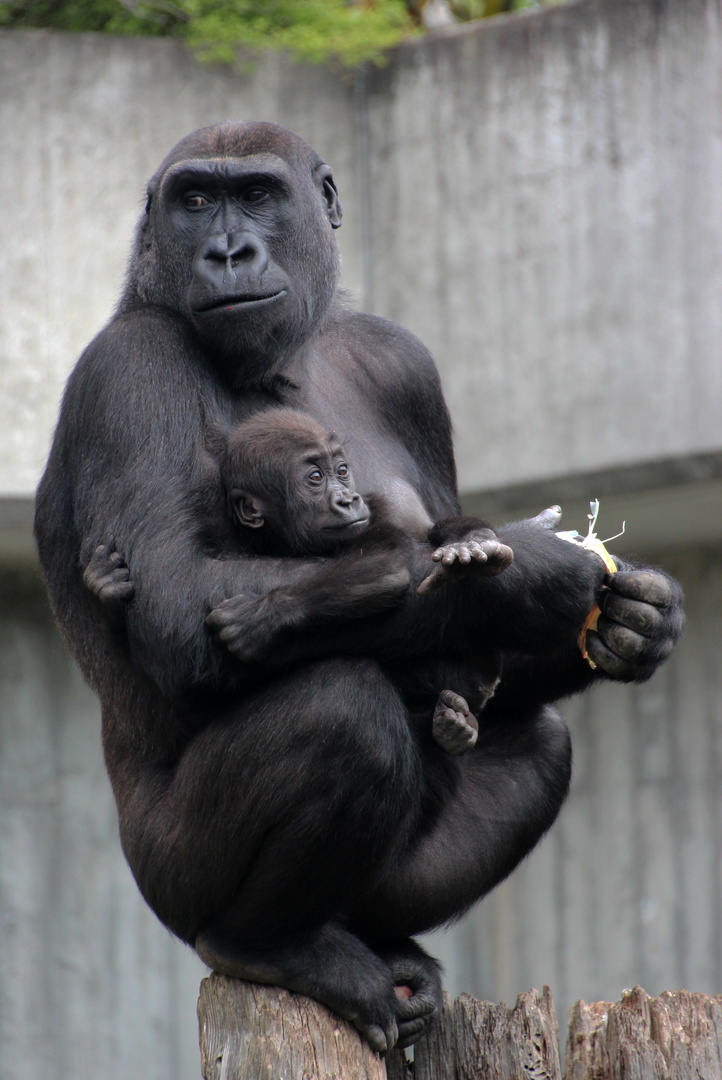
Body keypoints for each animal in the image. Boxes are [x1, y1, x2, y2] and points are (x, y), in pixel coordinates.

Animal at [83, 408, 511, 756]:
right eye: (315, 477)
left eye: (342, 470)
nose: (348, 500)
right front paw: (107, 592)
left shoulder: (376, 513)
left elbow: (386, 563)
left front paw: (260, 617)